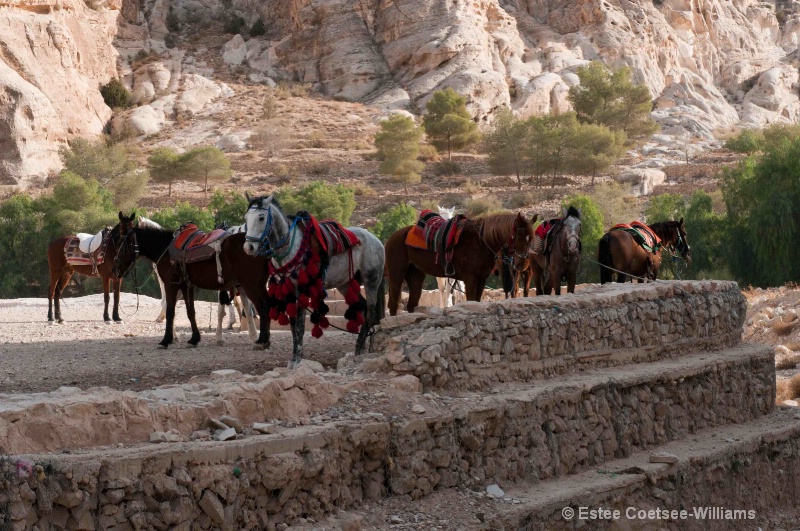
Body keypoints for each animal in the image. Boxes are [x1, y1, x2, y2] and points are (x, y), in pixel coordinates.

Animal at [112, 220, 274, 350]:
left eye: (121, 244)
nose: (115, 267)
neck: (165, 250)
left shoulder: (171, 285)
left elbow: (170, 312)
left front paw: (165, 340)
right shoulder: (186, 286)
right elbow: (191, 312)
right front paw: (194, 339)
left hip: (251, 285)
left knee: (262, 306)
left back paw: (262, 340)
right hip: (258, 285)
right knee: (267, 305)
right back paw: (263, 340)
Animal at [386, 212, 536, 316]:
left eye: (531, 239)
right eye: (519, 236)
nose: (521, 264)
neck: (481, 242)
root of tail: (392, 237)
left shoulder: (481, 280)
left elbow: (477, 301)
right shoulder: (470, 280)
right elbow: (471, 300)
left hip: (416, 275)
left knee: (411, 304)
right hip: (396, 275)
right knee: (393, 304)